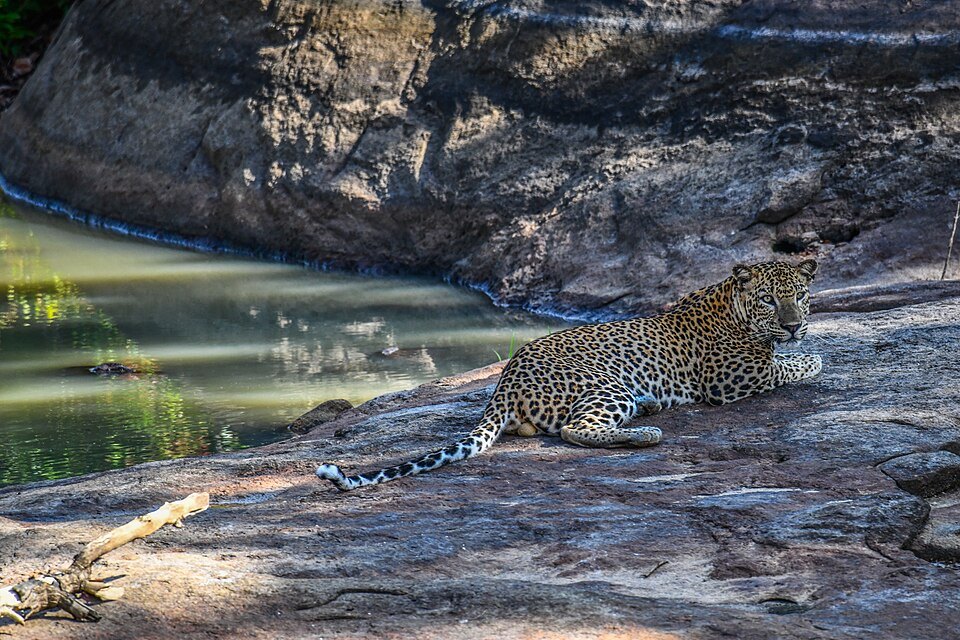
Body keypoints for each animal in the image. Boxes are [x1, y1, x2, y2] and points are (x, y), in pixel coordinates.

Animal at [317, 259, 821, 491]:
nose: (793, 325)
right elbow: (797, 363)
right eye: (769, 300)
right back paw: (644, 434)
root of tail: (505, 379)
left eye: (799, 295)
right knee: (575, 431)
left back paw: (648, 410)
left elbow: (792, 358)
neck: (730, 302)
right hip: (607, 385)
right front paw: (812, 355)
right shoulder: (734, 376)